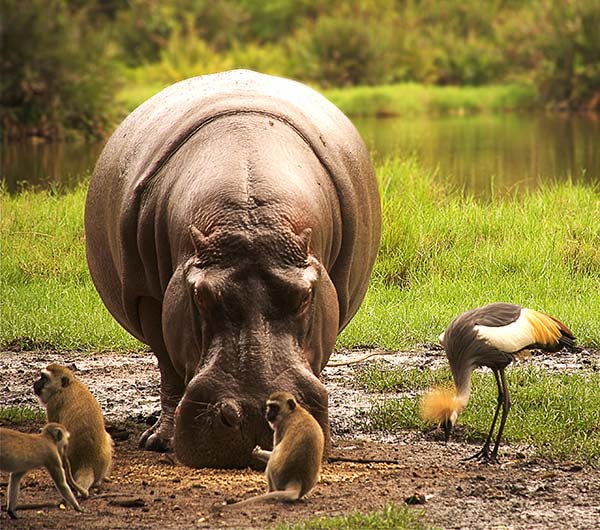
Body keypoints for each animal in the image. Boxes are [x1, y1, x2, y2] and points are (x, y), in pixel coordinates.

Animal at [84, 69, 380, 466]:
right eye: (200, 296)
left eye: (305, 295)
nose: (255, 412)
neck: (250, 219)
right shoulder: (149, 297)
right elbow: (169, 369)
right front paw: (160, 441)